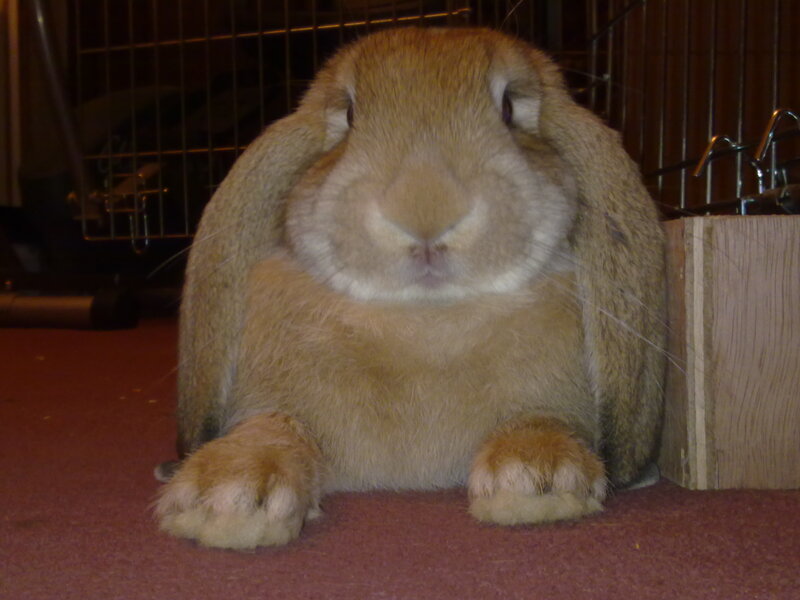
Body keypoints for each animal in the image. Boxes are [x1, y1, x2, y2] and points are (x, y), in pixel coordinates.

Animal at [155, 26, 666, 550]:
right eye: (349, 114)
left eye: (508, 108)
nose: (425, 209)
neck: (424, 319)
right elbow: (271, 427)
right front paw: (227, 495)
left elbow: (541, 419)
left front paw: (537, 477)